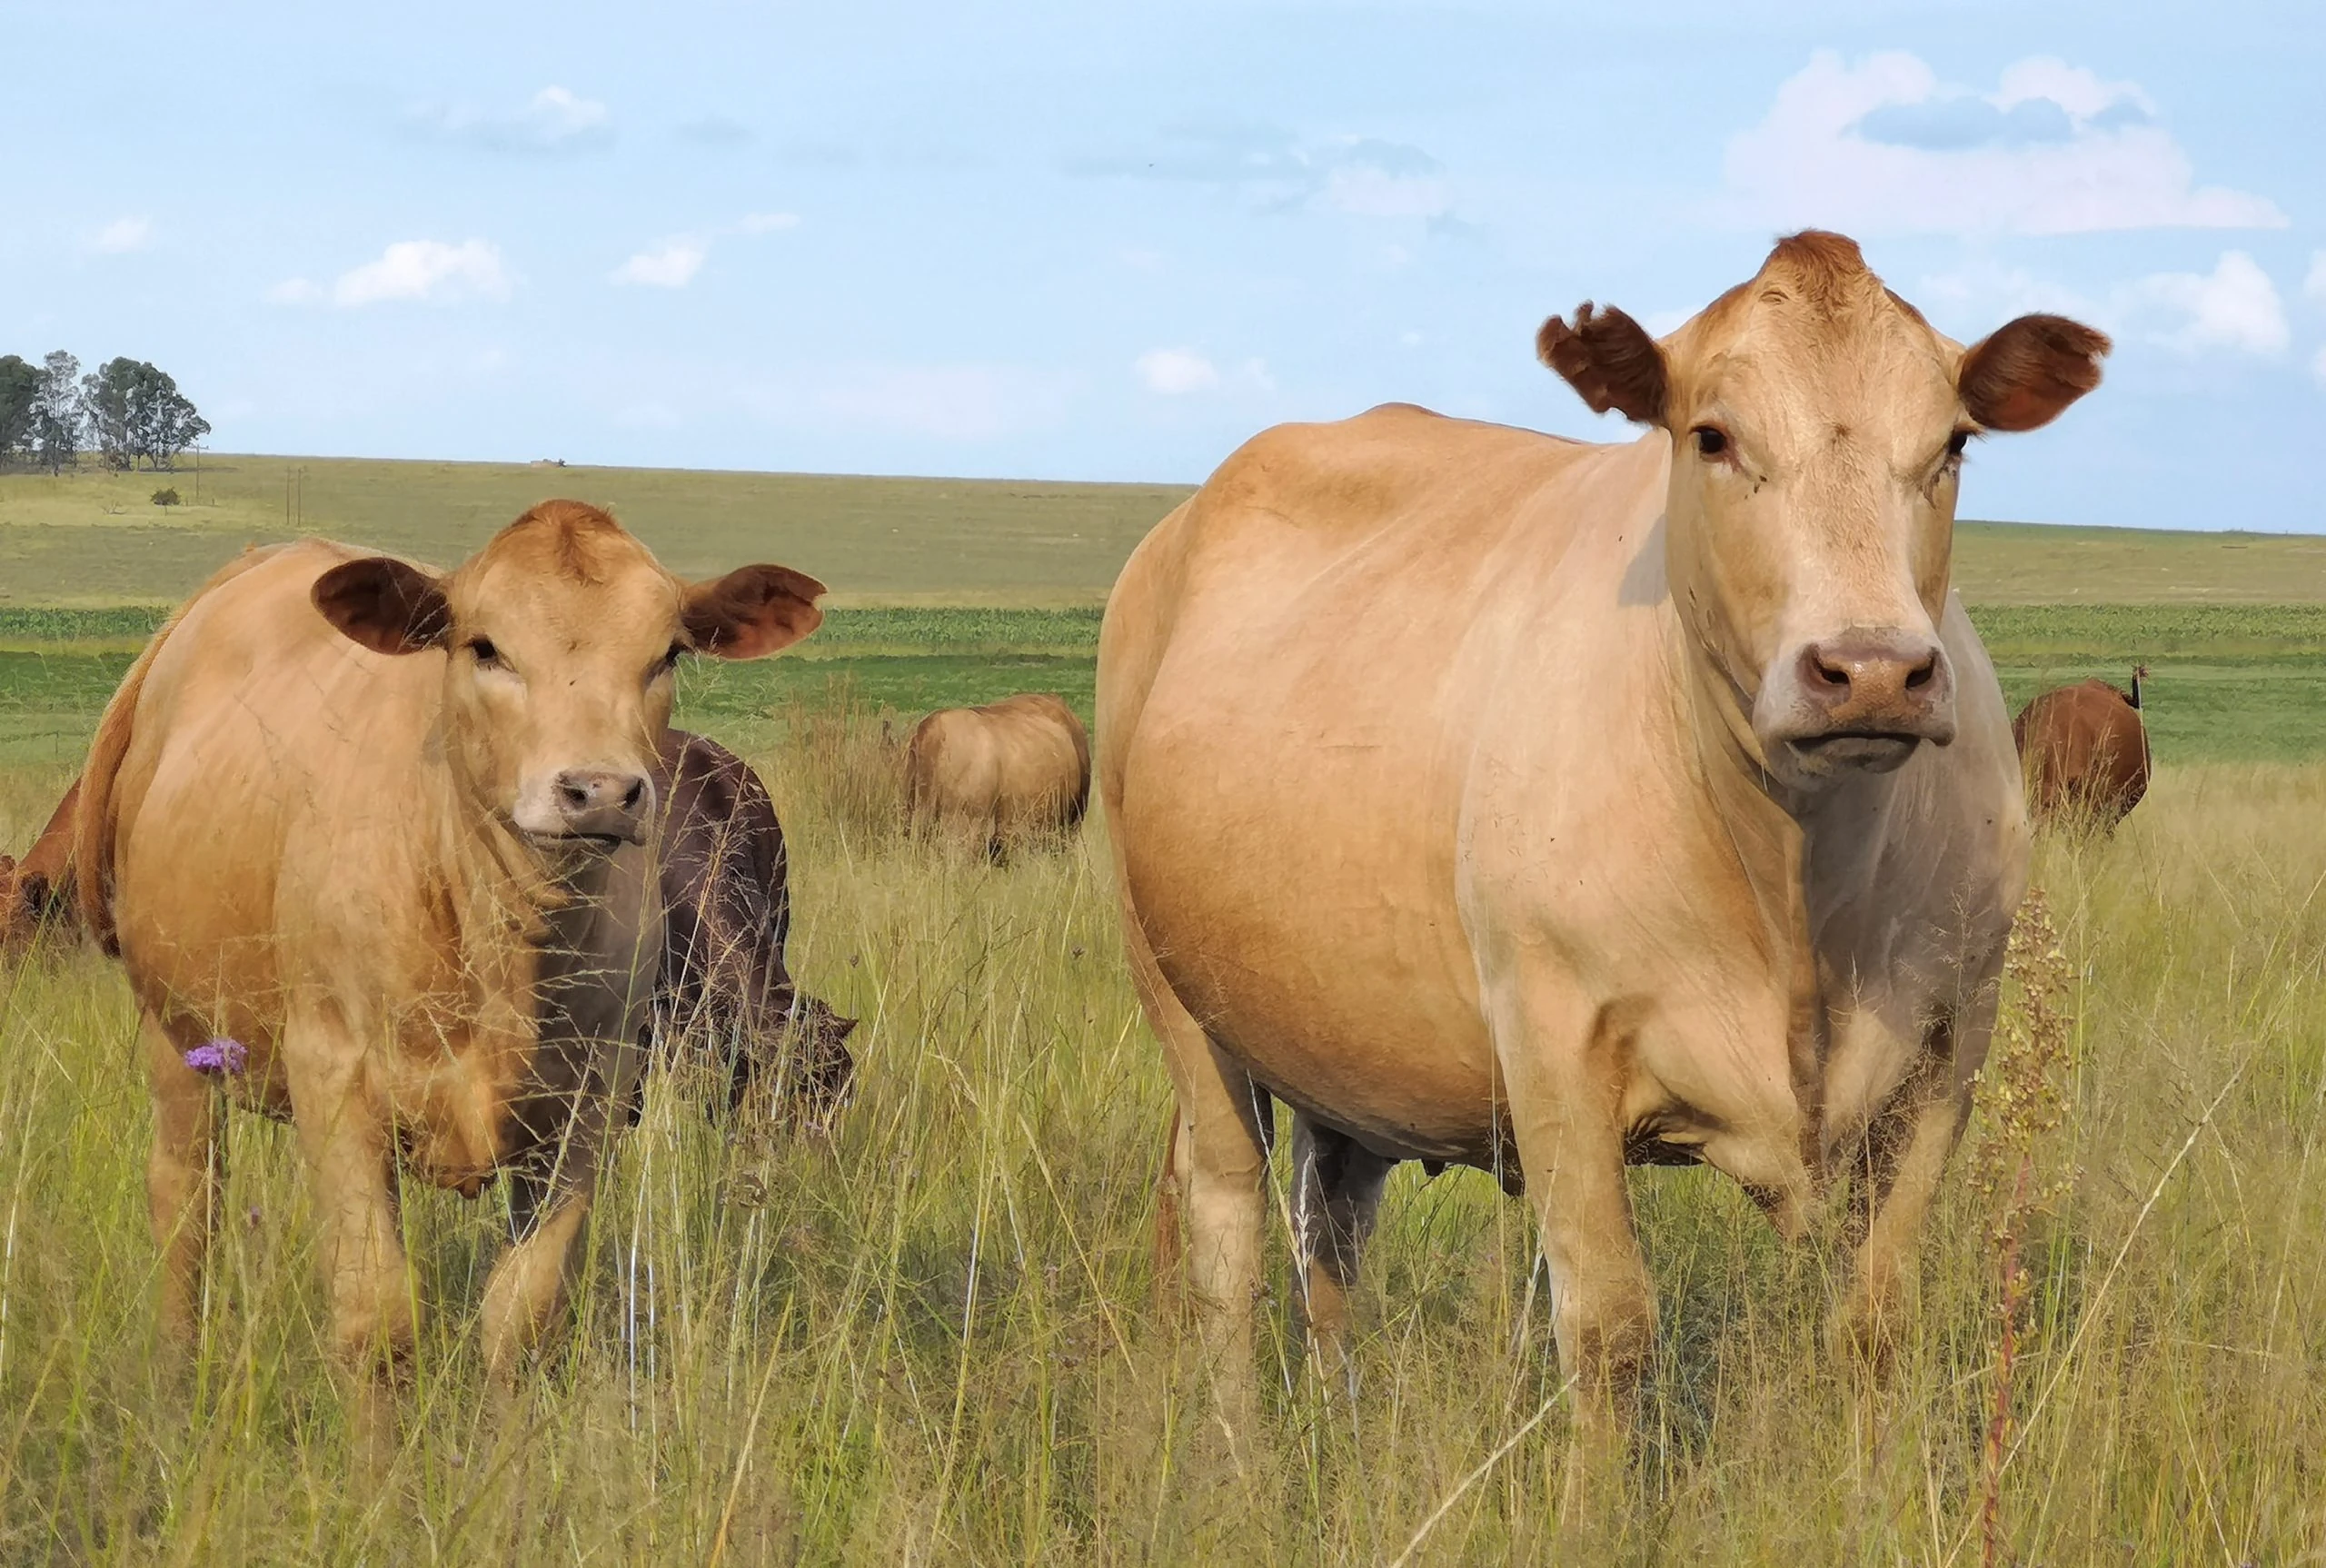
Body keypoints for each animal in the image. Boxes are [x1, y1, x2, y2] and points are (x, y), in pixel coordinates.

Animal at [75, 506, 825, 1389]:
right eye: (485, 646)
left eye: (667, 652)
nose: (600, 792)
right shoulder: (335, 1080)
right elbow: (376, 1320)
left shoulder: (593, 1103)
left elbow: (523, 1319)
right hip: (175, 1034)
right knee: (187, 1203)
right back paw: (175, 1376)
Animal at [1099, 231, 2105, 1437]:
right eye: (1712, 436)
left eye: (1952, 441)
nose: (1870, 669)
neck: (1796, 888)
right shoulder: (1551, 1038)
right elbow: (1610, 1331)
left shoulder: (1949, 1048)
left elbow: (1873, 1324)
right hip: (1173, 986)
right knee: (1227, 1215)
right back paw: (1236, 1450)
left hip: (1337, 1033)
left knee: (1328, 1224)